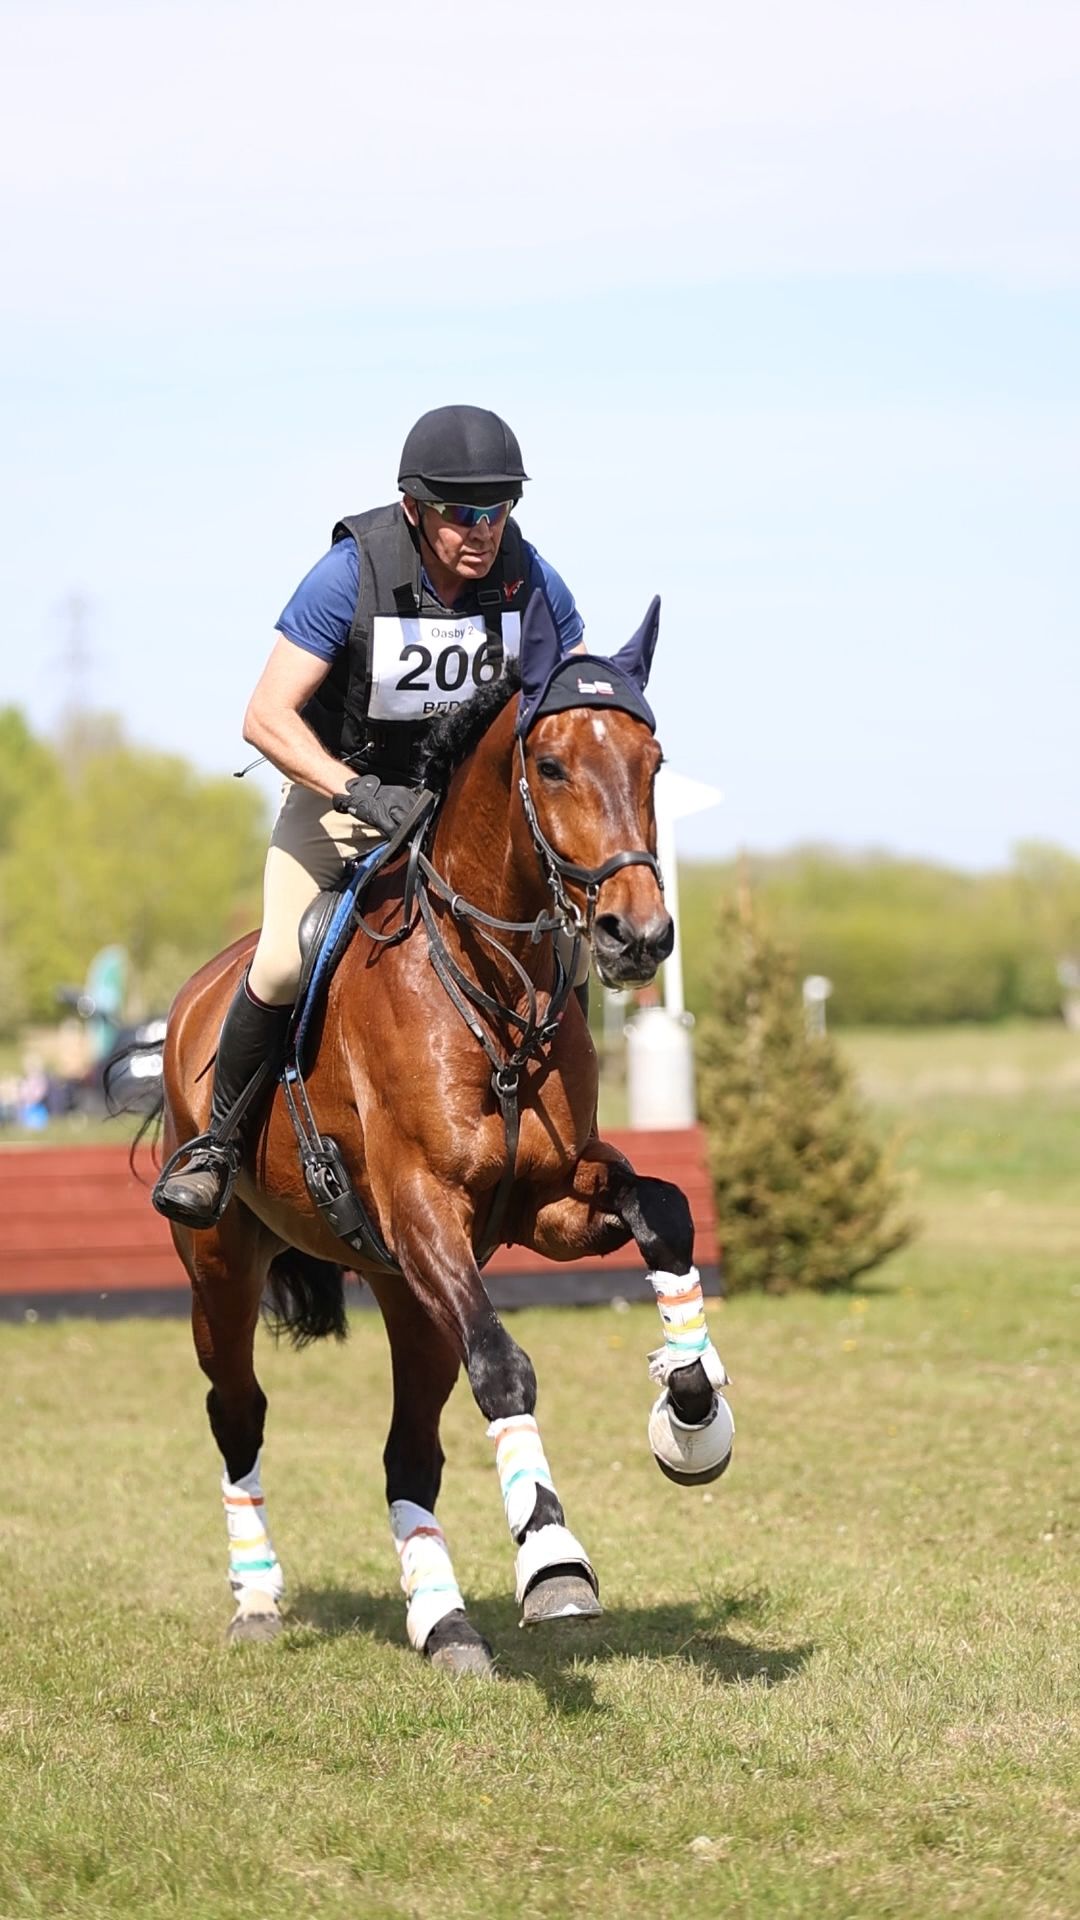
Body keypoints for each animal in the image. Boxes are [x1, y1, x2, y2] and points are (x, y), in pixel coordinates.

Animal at [158, 592, 733, 1675]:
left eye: (654, 761)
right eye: (550, 764)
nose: (637, 937)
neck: (492, 986)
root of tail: (199, 990)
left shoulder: (545, 1203)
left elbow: (668, 1212)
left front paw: (692, 1413)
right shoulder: (425, 1209)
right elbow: (505, 1368)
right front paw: (553, 1562)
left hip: (407, 1292)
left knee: (408, 1449)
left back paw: (443, 1618)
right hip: (224, 1263)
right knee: (238, 1413)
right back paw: (257, 1598)